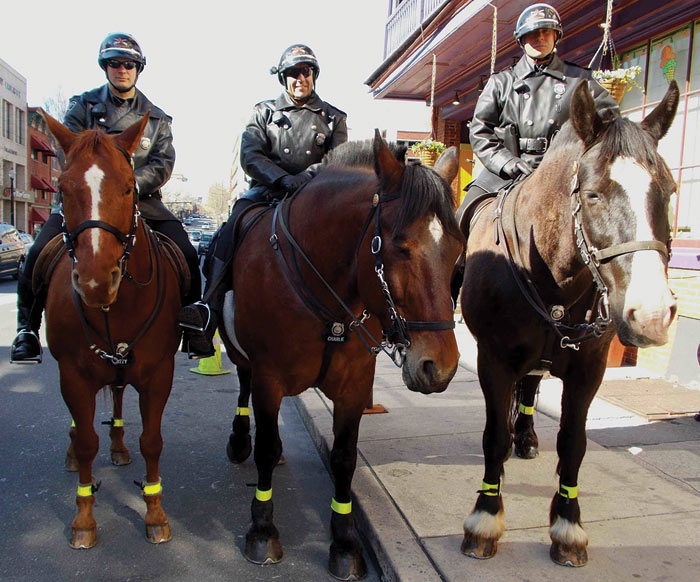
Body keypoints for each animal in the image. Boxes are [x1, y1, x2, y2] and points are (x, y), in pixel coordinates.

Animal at [40, 115, 183, 552]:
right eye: (62, 187)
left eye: (128, 186)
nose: (96, 281)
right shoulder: (73, 375)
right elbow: (88, 442)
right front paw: (84, 519)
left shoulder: (159, 373)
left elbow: (152, 441)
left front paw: (155, 513)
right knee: (85, 425)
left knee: (118, 396)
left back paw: (119, 445)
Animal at [219, 133, 464, 580]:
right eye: (400, 246)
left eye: (457, 249)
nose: (439, 367)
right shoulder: (268, 378)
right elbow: (265, 447)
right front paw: (262, 530)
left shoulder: (354, 386)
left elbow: (344, 459)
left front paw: (345, 542)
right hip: (240, 355)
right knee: (243, 391)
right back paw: (240, 438)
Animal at [460, 80, 680, 568]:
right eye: (593, 193)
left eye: (671, 190)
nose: (652, 314)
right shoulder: (493, 359)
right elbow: (491, 436)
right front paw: (484, 518)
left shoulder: (588, 369)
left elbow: (573, 444)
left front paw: (567, 527)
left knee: (529, 388)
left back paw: (525, 438)